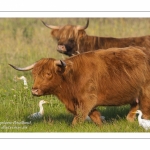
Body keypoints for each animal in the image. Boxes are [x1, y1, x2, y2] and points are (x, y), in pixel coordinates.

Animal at [9, 46, 150, 125]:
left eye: (48, 73)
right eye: (34, 74)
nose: (35, 90)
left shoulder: (87, 101)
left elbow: (77, 120)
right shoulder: (84, 104)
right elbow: (95, 117)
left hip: (145, 94)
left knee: (145, 111)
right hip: (135, 95)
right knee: (133, 109)